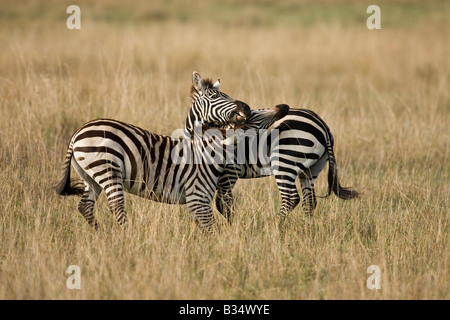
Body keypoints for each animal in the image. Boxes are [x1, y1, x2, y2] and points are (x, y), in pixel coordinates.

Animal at [54, 71, 288, 231]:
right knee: (117, 207)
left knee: (86, 206)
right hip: (107, 170)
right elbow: (212, 226)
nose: (245, 107)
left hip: (90, 175)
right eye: (215, 97)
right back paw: (127, 237)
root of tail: (77, 133)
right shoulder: (198, 196)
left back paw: (101, 235)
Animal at [183, 87, 358, 222]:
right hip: (311, 169)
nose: (245, 109)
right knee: (309, 201)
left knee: (291, 198)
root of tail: (323, 125)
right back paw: (306, 230)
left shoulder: (229, 173)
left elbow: (223, 203)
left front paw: (229, 230)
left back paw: (275, 226)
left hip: (285, 162)